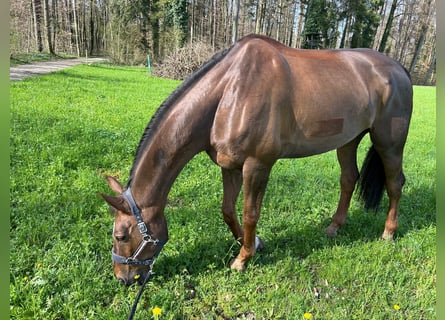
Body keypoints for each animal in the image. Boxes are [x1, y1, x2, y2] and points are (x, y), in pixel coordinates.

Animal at [99, 34, 412, 284]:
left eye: (121, 236)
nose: (122, 278)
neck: (230, 91)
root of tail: (400, 70)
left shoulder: (257, 164)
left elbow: (251, 213)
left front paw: (242, 259)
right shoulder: (230, 166)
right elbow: (228, 210)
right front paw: (254, 244)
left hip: (389, 143)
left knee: (395, 183)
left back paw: (388, 233)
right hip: (348, 141)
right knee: (348, 179)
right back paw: (334, 227)